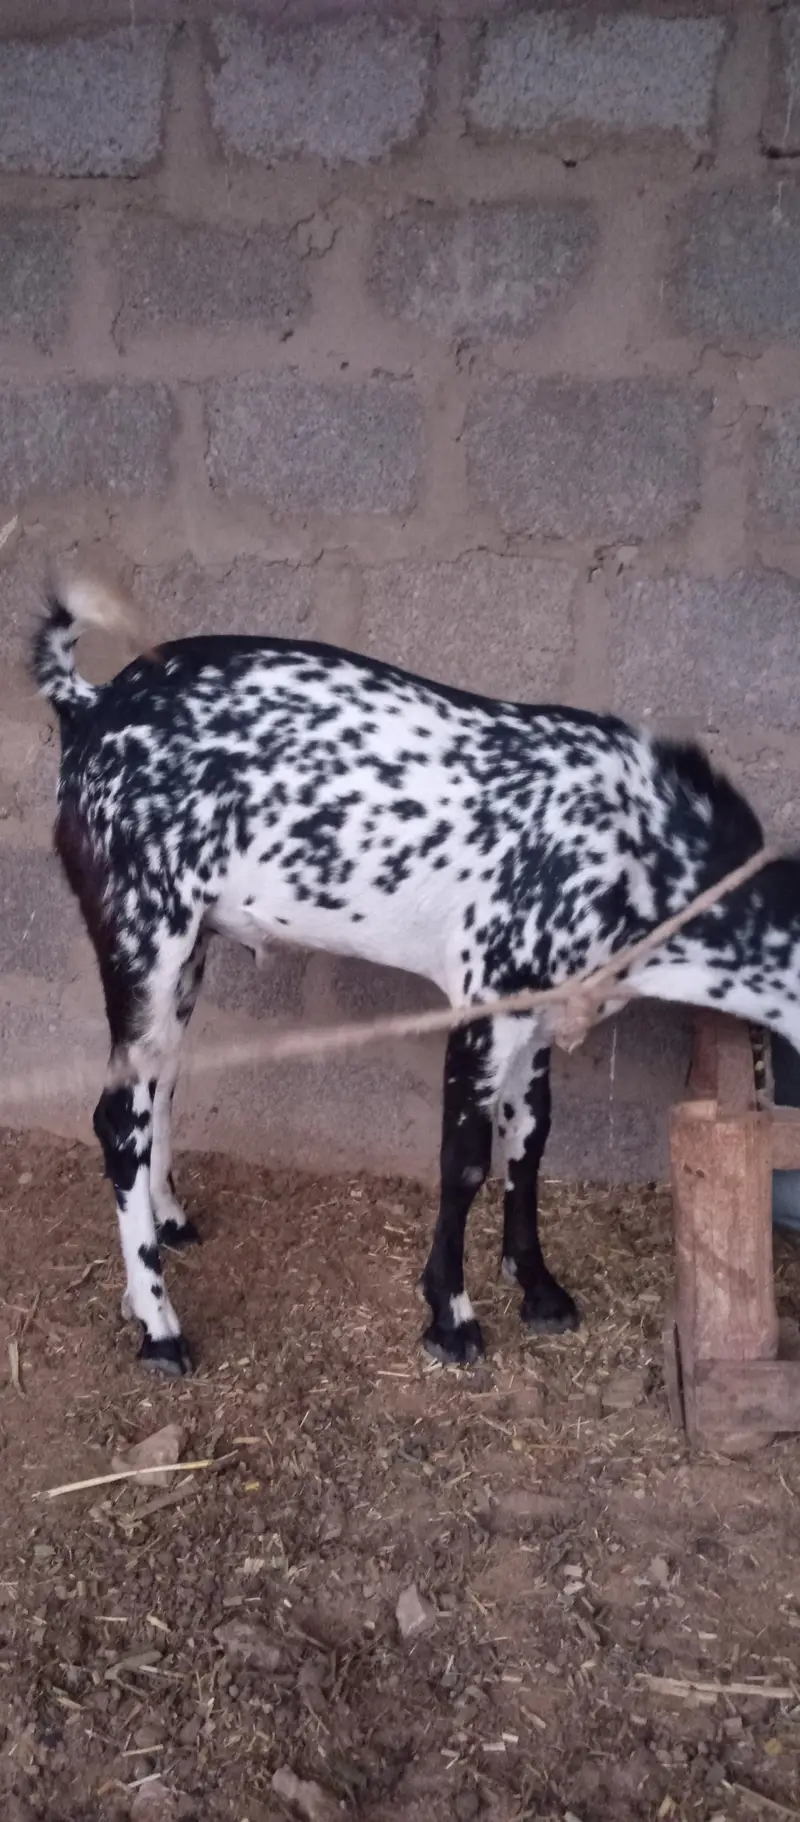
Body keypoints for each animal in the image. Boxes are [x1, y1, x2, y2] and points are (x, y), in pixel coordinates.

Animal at [31, 573, 800, 1377]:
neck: (641, 846)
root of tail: (89, 703)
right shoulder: (485, 1002)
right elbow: (464, 1161)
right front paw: (451, 1317)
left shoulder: (539, 1017)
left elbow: (530, 1139)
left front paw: (539, 1288)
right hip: (142, 931)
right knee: (119, 1117)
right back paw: (159, 1326)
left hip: (186, 954)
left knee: (161, 1084)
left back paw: (171, 1226)